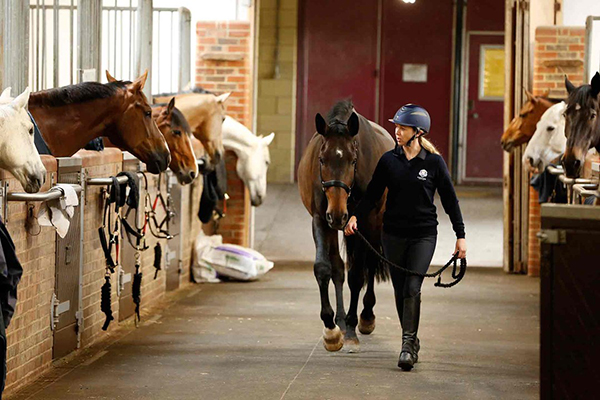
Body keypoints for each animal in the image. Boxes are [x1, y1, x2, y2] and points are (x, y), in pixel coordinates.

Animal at [298, 101, 394, 354]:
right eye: (322, 160)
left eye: (352, 160)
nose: (338, 214)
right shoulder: (321, 220)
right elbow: (324, 268)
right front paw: (331, 328)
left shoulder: (365, 222)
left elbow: (357, 276)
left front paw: (350, 330)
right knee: (338, 268)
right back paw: (340, 320)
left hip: (371, 227)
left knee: (370, 264)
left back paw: (365, 316)